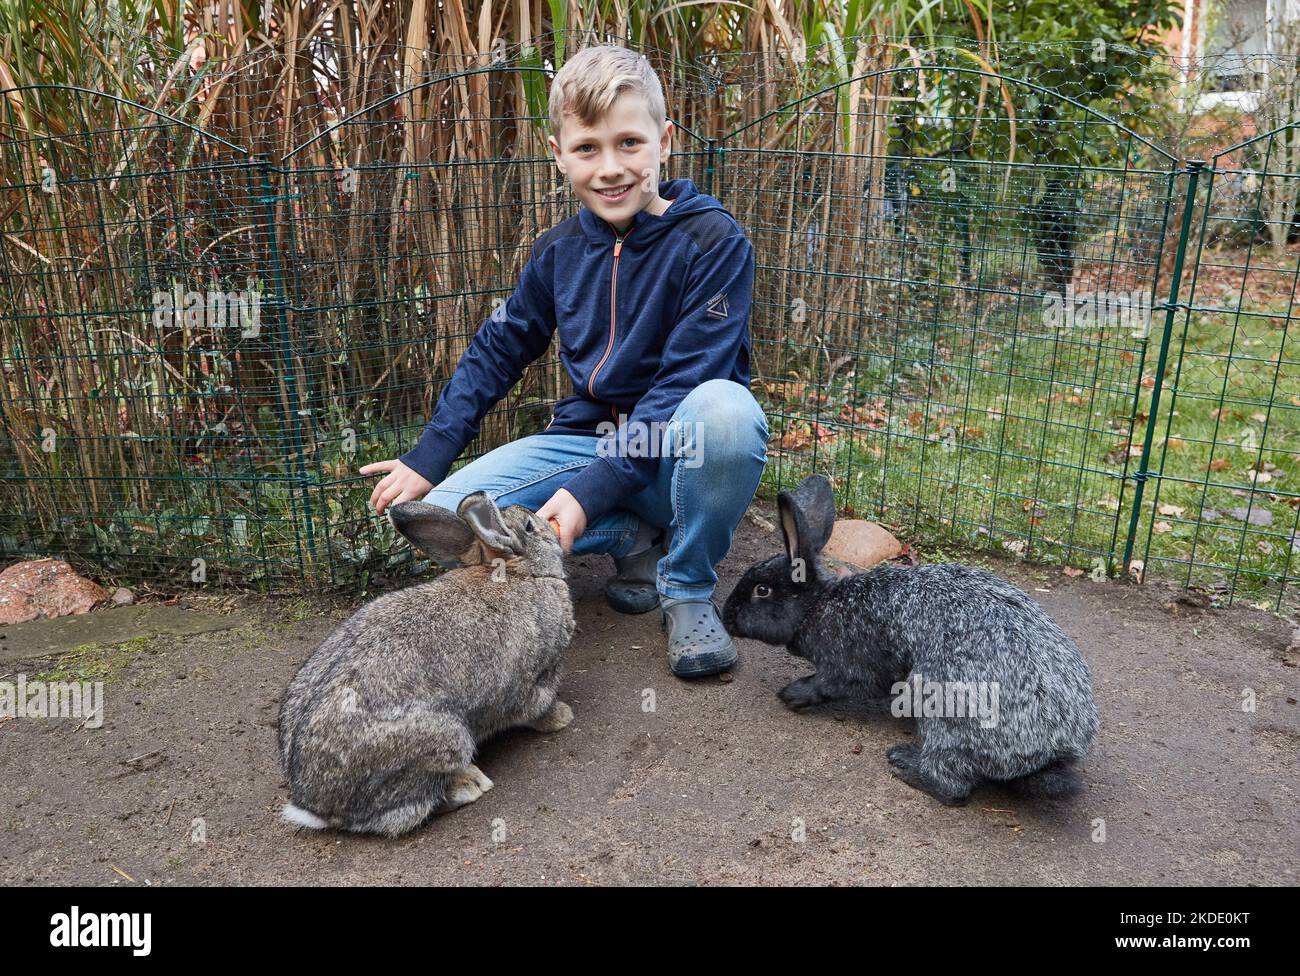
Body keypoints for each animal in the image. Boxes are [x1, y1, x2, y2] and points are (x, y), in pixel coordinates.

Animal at [278, 496, 574, 842]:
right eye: (529, 526)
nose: (550, 527)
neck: (521, 573)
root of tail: (313, 804)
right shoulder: (539, 679)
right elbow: (538, 708)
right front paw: (563, 717)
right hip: (447, 741)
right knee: (405, 814)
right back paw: (469, 785)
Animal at [722, 478, 1097, 805]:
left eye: (762, 590)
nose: (725, 617)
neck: (818, 604)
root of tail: (1050, 753)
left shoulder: (848, 660)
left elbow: (836, 682)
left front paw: (793, 693)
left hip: (940, 701)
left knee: (952, 785)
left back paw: (904, 764)